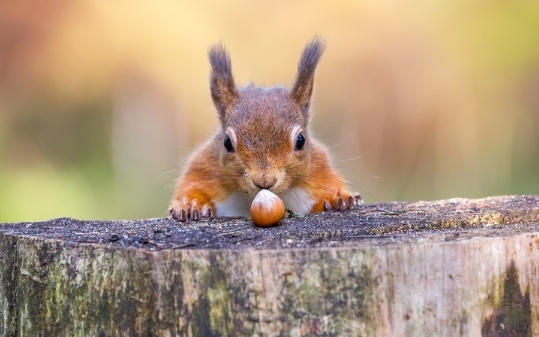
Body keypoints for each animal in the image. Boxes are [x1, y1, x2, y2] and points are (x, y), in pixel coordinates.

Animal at [171, 38, 360, 222]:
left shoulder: (319, 168)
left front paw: (338, 197)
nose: (264, 180)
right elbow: (193, 186)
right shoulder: (203, 168)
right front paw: (191, 204)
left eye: (301, 140)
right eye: (226, 142)